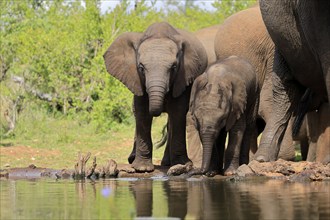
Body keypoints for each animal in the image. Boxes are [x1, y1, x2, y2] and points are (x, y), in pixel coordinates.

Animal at [103, 21, 208, 172]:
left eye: (173, 67)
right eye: (141, 67)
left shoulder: (183, 77)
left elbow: (178, 112)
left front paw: (181, 164)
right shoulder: (136, 79)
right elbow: (142, 112)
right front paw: (142, 168)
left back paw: (167, 163)